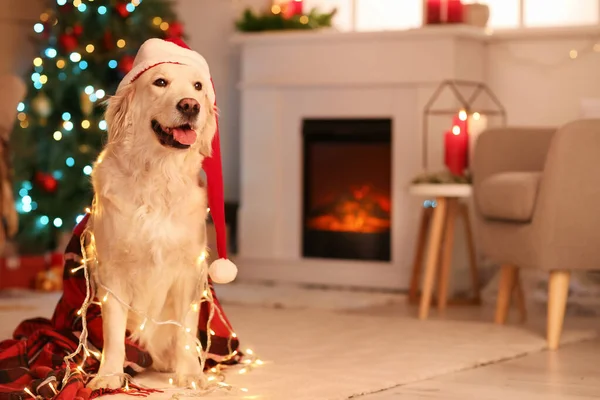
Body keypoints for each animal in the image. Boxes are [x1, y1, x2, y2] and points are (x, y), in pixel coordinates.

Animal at [85, 44, 219, 390]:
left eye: (198, 86)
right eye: (160, 82)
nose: (190, 105)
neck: (157, 177)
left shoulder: (188, 270)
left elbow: (185, 328)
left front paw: (190, 374)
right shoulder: (112, 271)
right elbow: (114, 332)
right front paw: (108, 376)